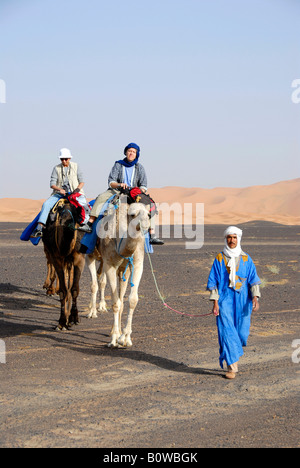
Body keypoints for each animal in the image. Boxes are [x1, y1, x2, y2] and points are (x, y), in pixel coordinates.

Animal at [41, 197, 85, 330]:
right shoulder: (57, 258)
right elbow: (63, 290)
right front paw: (62, 321)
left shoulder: (79, 258)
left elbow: (74, 289)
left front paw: (73, 317)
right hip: (50, 251)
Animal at [85, 195, 150, 348]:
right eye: (133, 214)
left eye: (148, 214)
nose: (145, 224)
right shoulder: (110, 265)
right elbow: (115, 303)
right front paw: (114, 338)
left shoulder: (136, 264)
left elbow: (131, 300)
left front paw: (125, 337)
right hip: (89, 255)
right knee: (94, 283)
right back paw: (92, 312)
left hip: (120, 270)